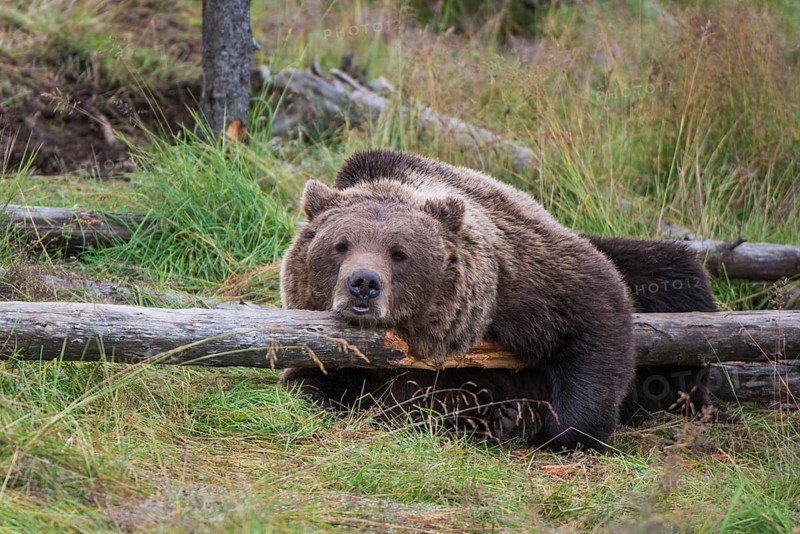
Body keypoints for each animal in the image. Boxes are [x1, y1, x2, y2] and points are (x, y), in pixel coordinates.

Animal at [280, 149, 717, 452]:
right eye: (340, 245)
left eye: (399, 252)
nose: (364, 284)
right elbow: (314, 382)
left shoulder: (520, 278)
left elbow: (594, 314)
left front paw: (566, 431)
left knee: (674, 276)